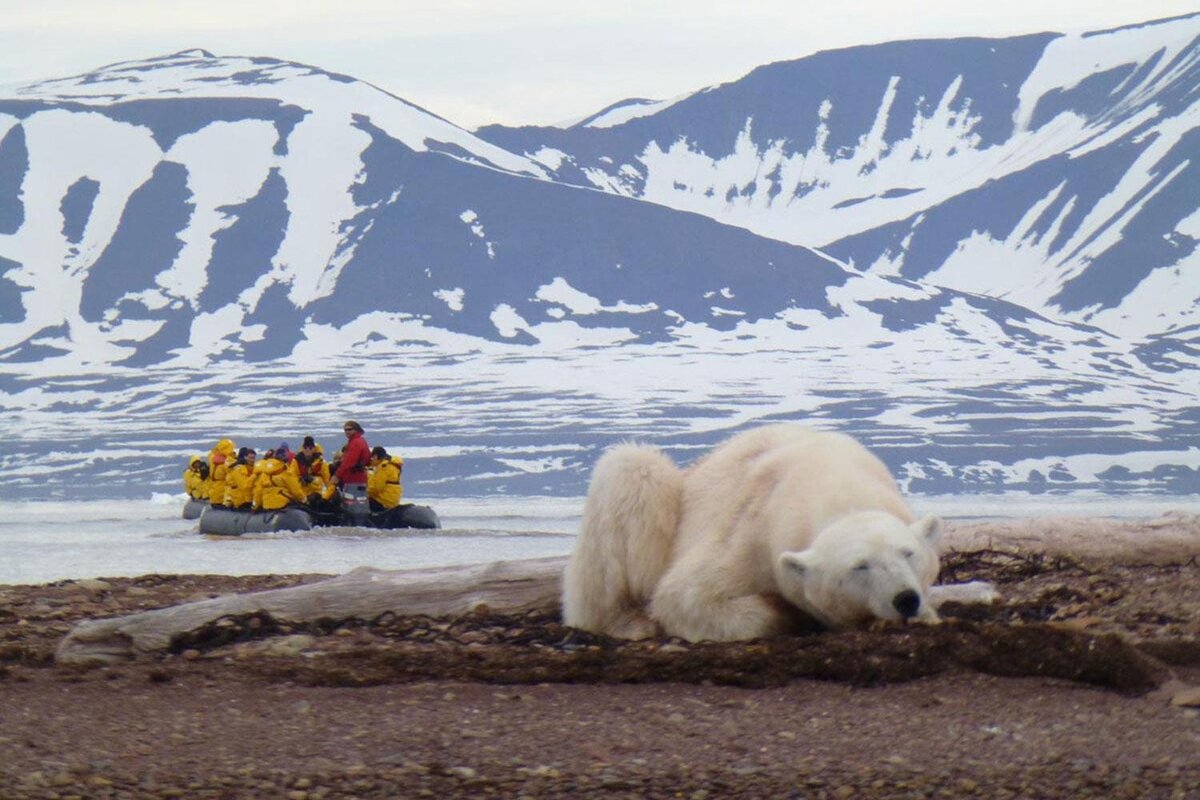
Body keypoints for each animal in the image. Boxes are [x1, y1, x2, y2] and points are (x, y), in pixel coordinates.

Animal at [561, 424, 945, 642]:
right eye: (859, 566)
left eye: (908, 553)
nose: (905, 598)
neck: (838, 487)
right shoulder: (753, 531)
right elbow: (685, 595)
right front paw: (788, 612)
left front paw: (929, 613)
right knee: (633, 468)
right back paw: (629, 622)